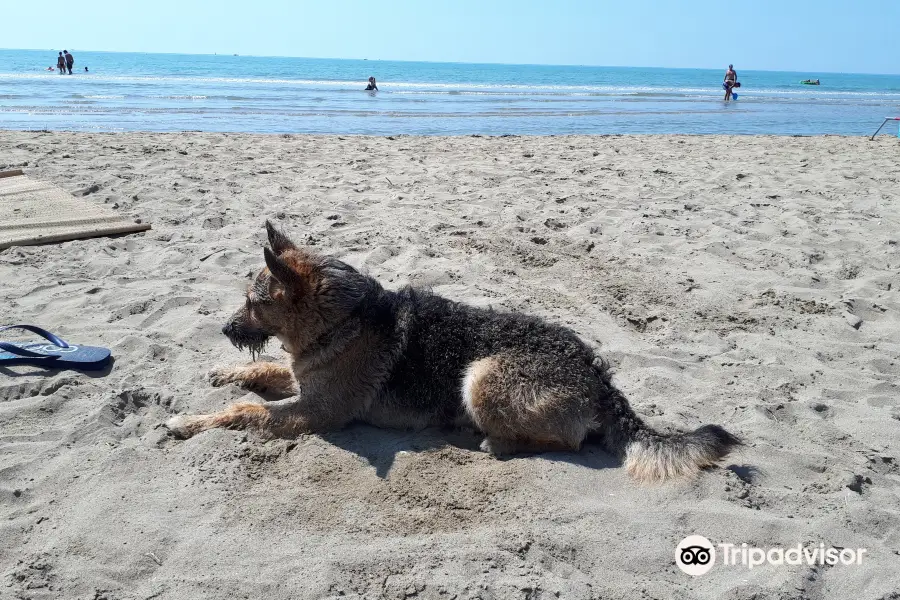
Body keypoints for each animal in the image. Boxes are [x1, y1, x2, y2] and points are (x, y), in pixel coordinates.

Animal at [167, 223, 740, 480]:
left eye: (252, 302)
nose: (224, 328)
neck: (341, 320)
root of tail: (601, 380)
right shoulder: (304, 380)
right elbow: (266, 368)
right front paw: (223, 372)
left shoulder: (318, 411)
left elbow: (247, 411)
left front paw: (191, 422)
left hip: (481, 377)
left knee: (565, 442)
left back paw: (492, 442)